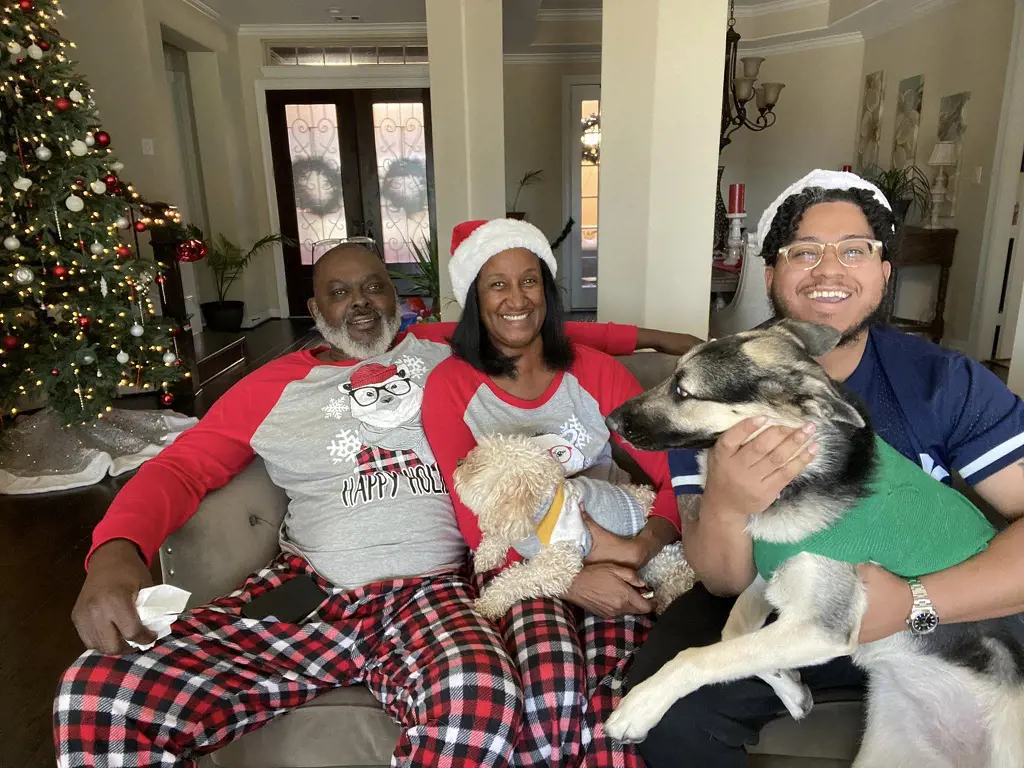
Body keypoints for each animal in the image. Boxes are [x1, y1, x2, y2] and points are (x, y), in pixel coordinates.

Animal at [598, 319, 1024, 768]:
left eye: (682, 390)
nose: (610, 420)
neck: (803, 475)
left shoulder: (821, 627)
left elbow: (700, 654)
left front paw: (641, 705)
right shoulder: (768, 581)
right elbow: (733, 638)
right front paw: (790, 688)